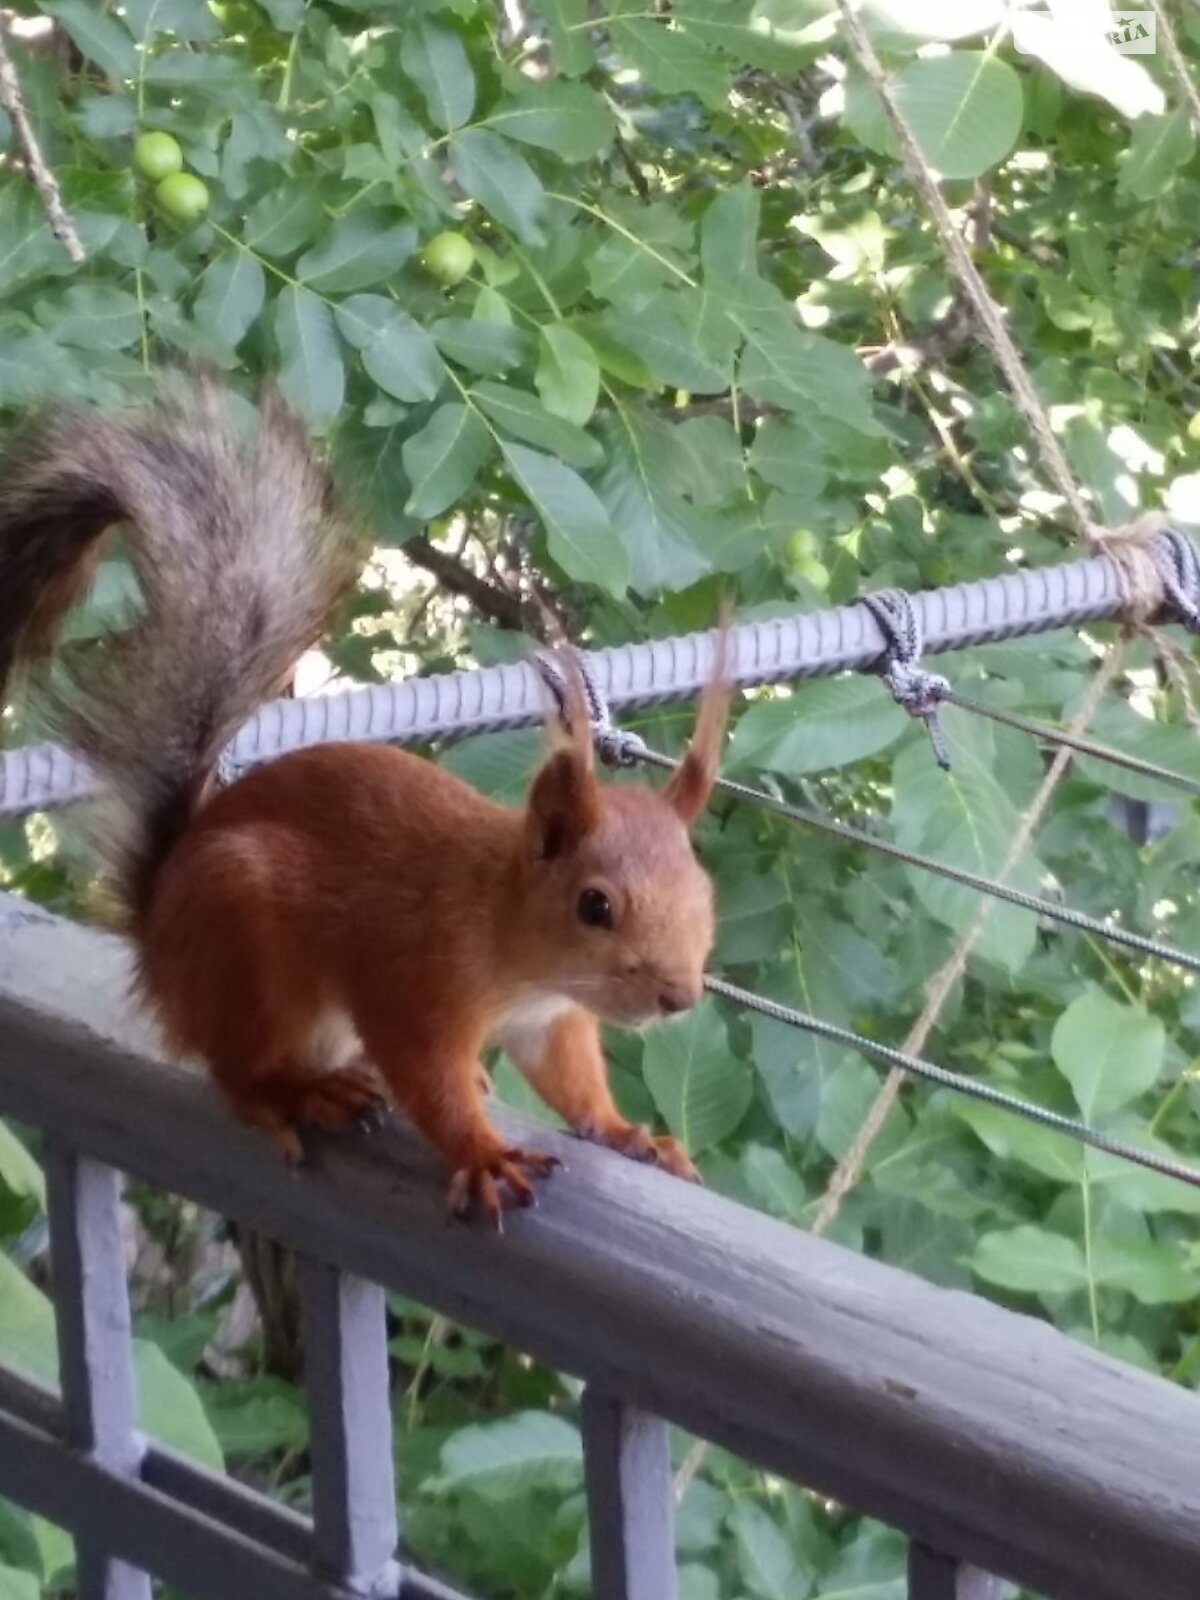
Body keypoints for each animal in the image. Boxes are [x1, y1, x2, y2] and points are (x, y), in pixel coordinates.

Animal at [0, 377, 732, 1222]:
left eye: (704, 895)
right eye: (595, 906)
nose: (678, 995)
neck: (511, 936)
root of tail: (156, 938)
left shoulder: (549, 1020)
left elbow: (571, 1080)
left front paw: (627, 1134)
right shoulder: (412, 982)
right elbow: (426, 1078)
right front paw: (483, 1156)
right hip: (246, 948)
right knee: (238, 1074)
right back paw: (298, 1096)